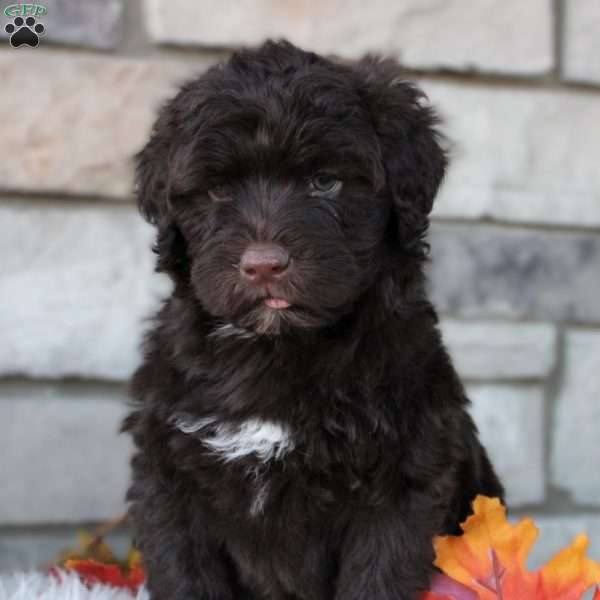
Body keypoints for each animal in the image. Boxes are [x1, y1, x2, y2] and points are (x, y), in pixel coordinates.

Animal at [124, 38, 504, 600]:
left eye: (325, 182)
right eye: (218, 190)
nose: (263, 265)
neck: (275, 347)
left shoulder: (401, 480)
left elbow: (378, 578)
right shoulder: (170, 474)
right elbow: (185, 573)